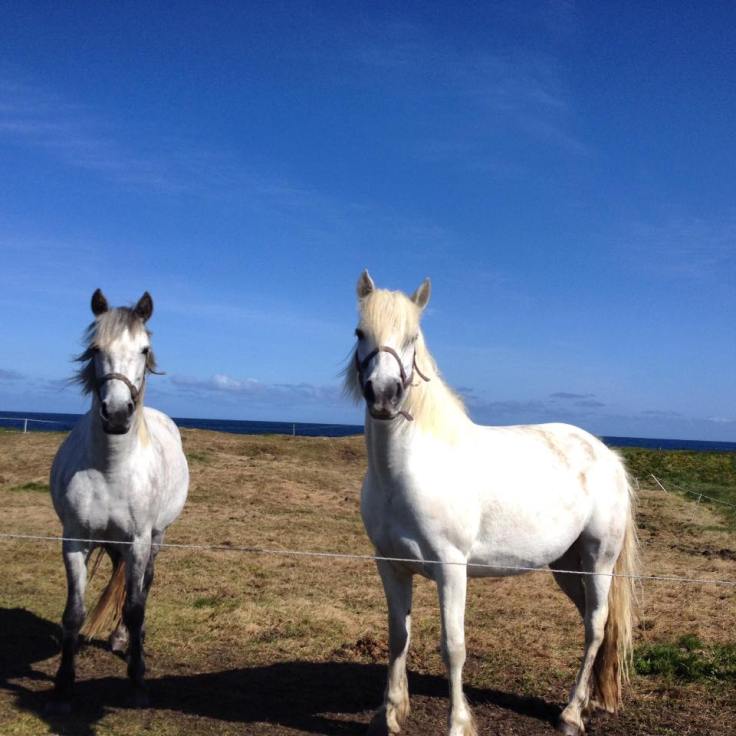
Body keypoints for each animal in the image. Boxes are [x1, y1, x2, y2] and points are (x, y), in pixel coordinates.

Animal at [49, 289, 189, 710]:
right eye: (96, 348)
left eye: (144, 349)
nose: (115, 413)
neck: (111, 468)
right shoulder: (74, 540)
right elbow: (74, 613)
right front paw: (63, 685)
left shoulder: (140, 540)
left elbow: (136, 606)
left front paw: (138, 682)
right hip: (113, 542)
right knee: (119, 578)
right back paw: (119, 638)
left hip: (155, 538)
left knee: (142, 586)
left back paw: (129, 643)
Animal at [345, 271, 638, 736]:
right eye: (360, 333)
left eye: (413, 337)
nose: (384, 395)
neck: (410, 468)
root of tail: (608, 455)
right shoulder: (390, 564)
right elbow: (398, 636)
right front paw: (389, 715)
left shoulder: (451, 568)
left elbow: (453, 647)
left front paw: (458, 723)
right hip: (568, 565)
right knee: (596, 621)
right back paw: (590, 701)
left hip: (599, 559)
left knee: (595, 627)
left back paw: (571, 714)